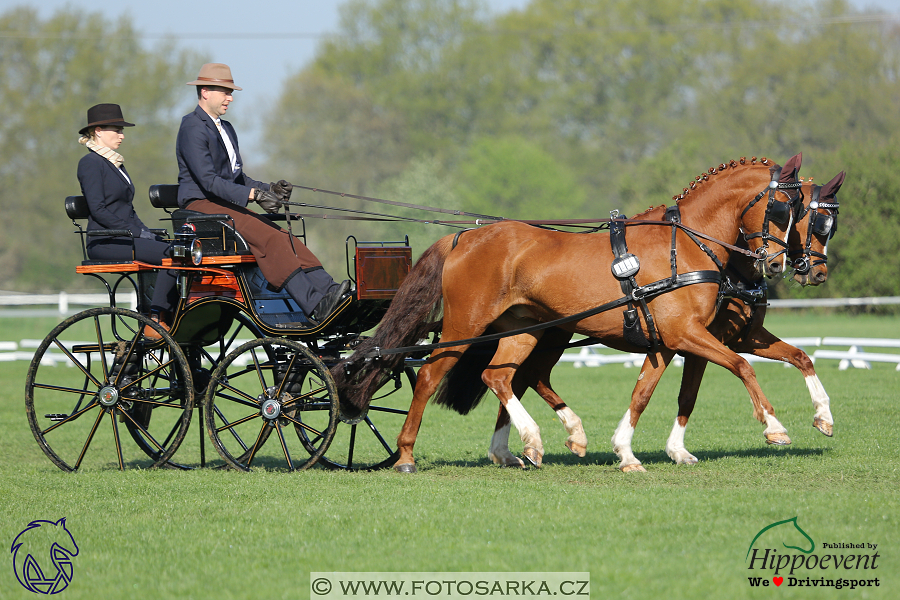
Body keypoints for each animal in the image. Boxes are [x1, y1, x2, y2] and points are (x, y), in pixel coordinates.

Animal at [336, 152, 800, 472]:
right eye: (781, 208)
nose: (779, 264)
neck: (684, 244)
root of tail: (463, 238)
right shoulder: (685, 333)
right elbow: (741, 365)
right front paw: (774, 427)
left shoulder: (669, 338)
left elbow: (646, 392)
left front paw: (627, 452)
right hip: (464, 325)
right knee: (433, 376)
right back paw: (406, 455)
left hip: (523, 328)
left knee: (500, 377)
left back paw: (537, 441)